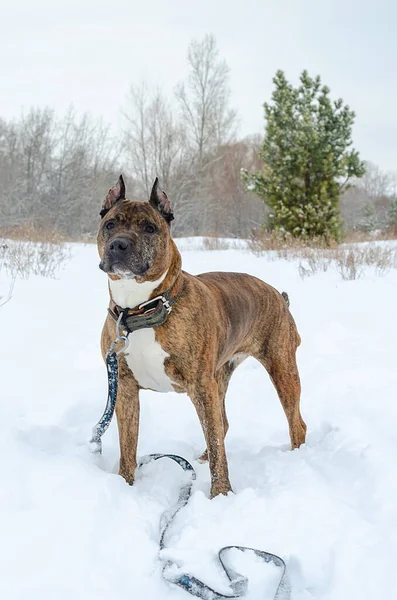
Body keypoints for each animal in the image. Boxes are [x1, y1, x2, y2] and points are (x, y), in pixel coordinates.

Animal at [97, 176, 304, 500]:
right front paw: (125, 486)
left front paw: (221, 494)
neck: (142, 309)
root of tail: (278, 296)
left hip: (282, 369)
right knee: (221, 424)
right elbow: (128, 446)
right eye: (110, 224)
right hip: (220, 377)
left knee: (295, 423)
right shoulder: (126, 390)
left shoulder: (200, 386)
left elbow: (220, 452)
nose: (119, 244)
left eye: (149, 228)